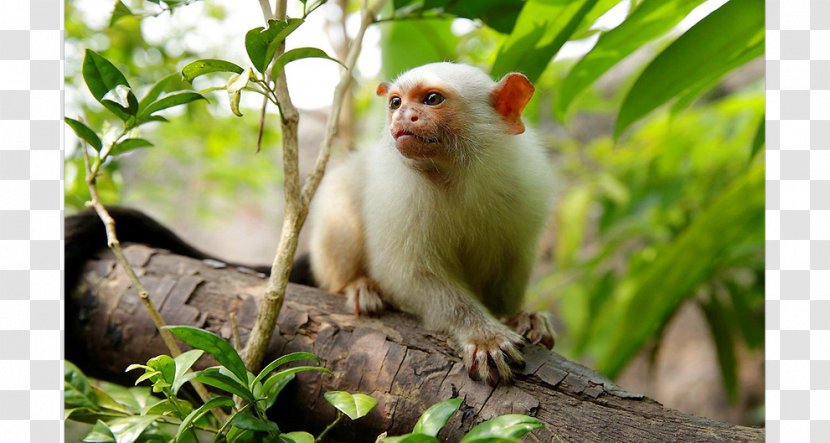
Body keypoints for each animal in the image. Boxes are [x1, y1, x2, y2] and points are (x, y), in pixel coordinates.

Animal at [308, 62, 556, 386]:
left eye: (432, 99)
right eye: (396, 102)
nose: (402, 116)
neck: (454, 174)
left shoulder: (524, 188)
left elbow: (511, 261)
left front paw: (518, 316)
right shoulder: (398, 200)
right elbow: (408, 274)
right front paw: (484, 336)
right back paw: (359, 286)